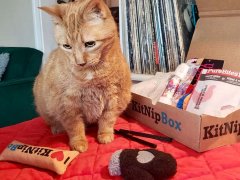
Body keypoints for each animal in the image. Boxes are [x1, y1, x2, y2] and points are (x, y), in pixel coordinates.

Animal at [33, 0, 131, 152]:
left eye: (90, 44)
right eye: (67, 46)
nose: (80, 62)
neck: (92, 74)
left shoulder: (115, 98)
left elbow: (107, 119)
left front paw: (105, 134)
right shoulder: (67, 104)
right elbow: (75, 127)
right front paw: (78, 142)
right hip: (44, 106)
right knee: (51, 121)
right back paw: (57, 128)